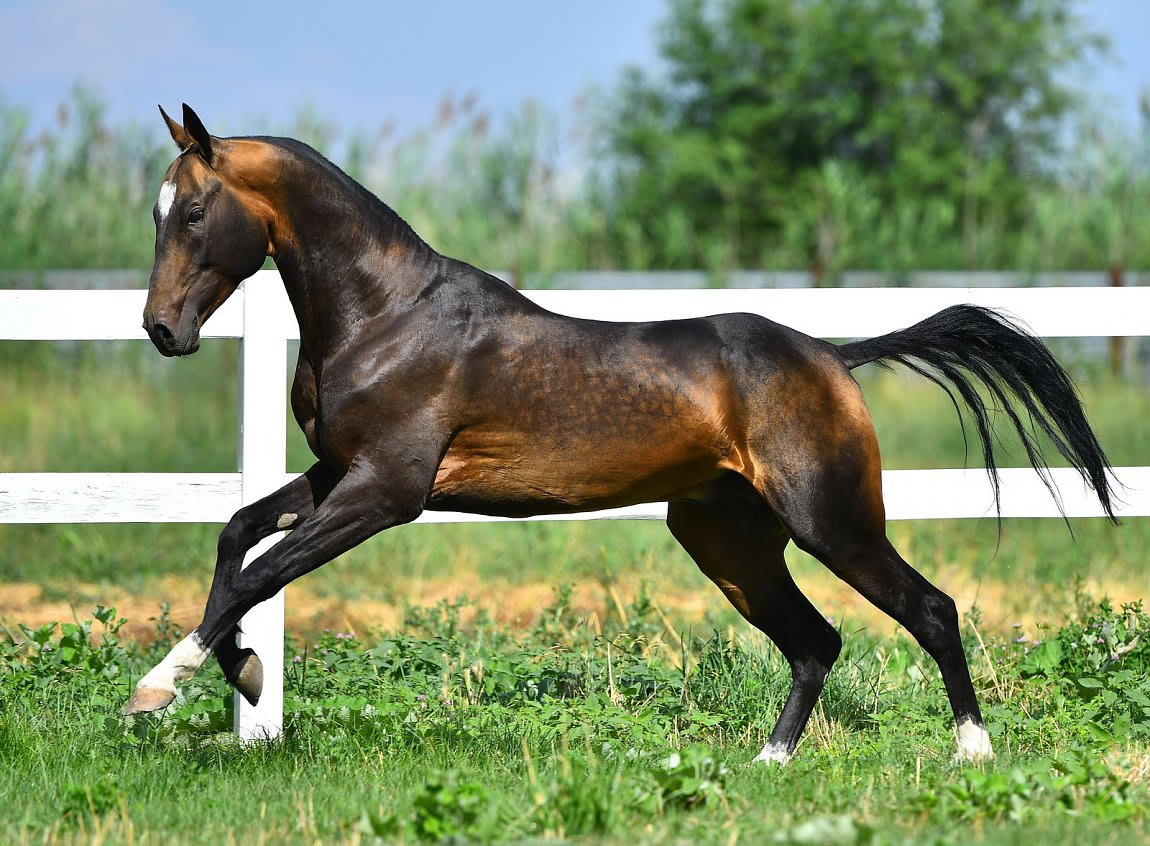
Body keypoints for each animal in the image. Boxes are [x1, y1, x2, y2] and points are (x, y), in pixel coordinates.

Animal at [126, 104, 1118, 765]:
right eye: (156, 211)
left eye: (193, 211)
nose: (162, 332)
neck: (386, 317)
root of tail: (832, 356)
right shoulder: (339, 474)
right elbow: (237, 537)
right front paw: (245, 673)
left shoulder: (386, 492)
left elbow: (259, 572)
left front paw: (161, 686)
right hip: (728, 538)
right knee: (816, 641)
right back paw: (767, 764)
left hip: (830, 521)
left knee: (930, 610)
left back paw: (972, 752)